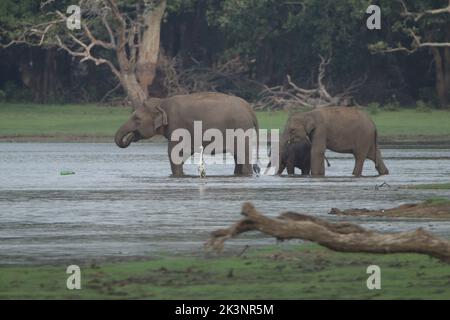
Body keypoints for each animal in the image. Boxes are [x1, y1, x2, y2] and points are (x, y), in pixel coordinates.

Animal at [114, 92, 258, 176]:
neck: (162, 102)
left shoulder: (177, 125)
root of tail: (250, 109)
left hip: (241, 129)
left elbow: (173, 152)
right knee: (238, 157)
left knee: (243, 155)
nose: (131, 136)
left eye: (136, 118)